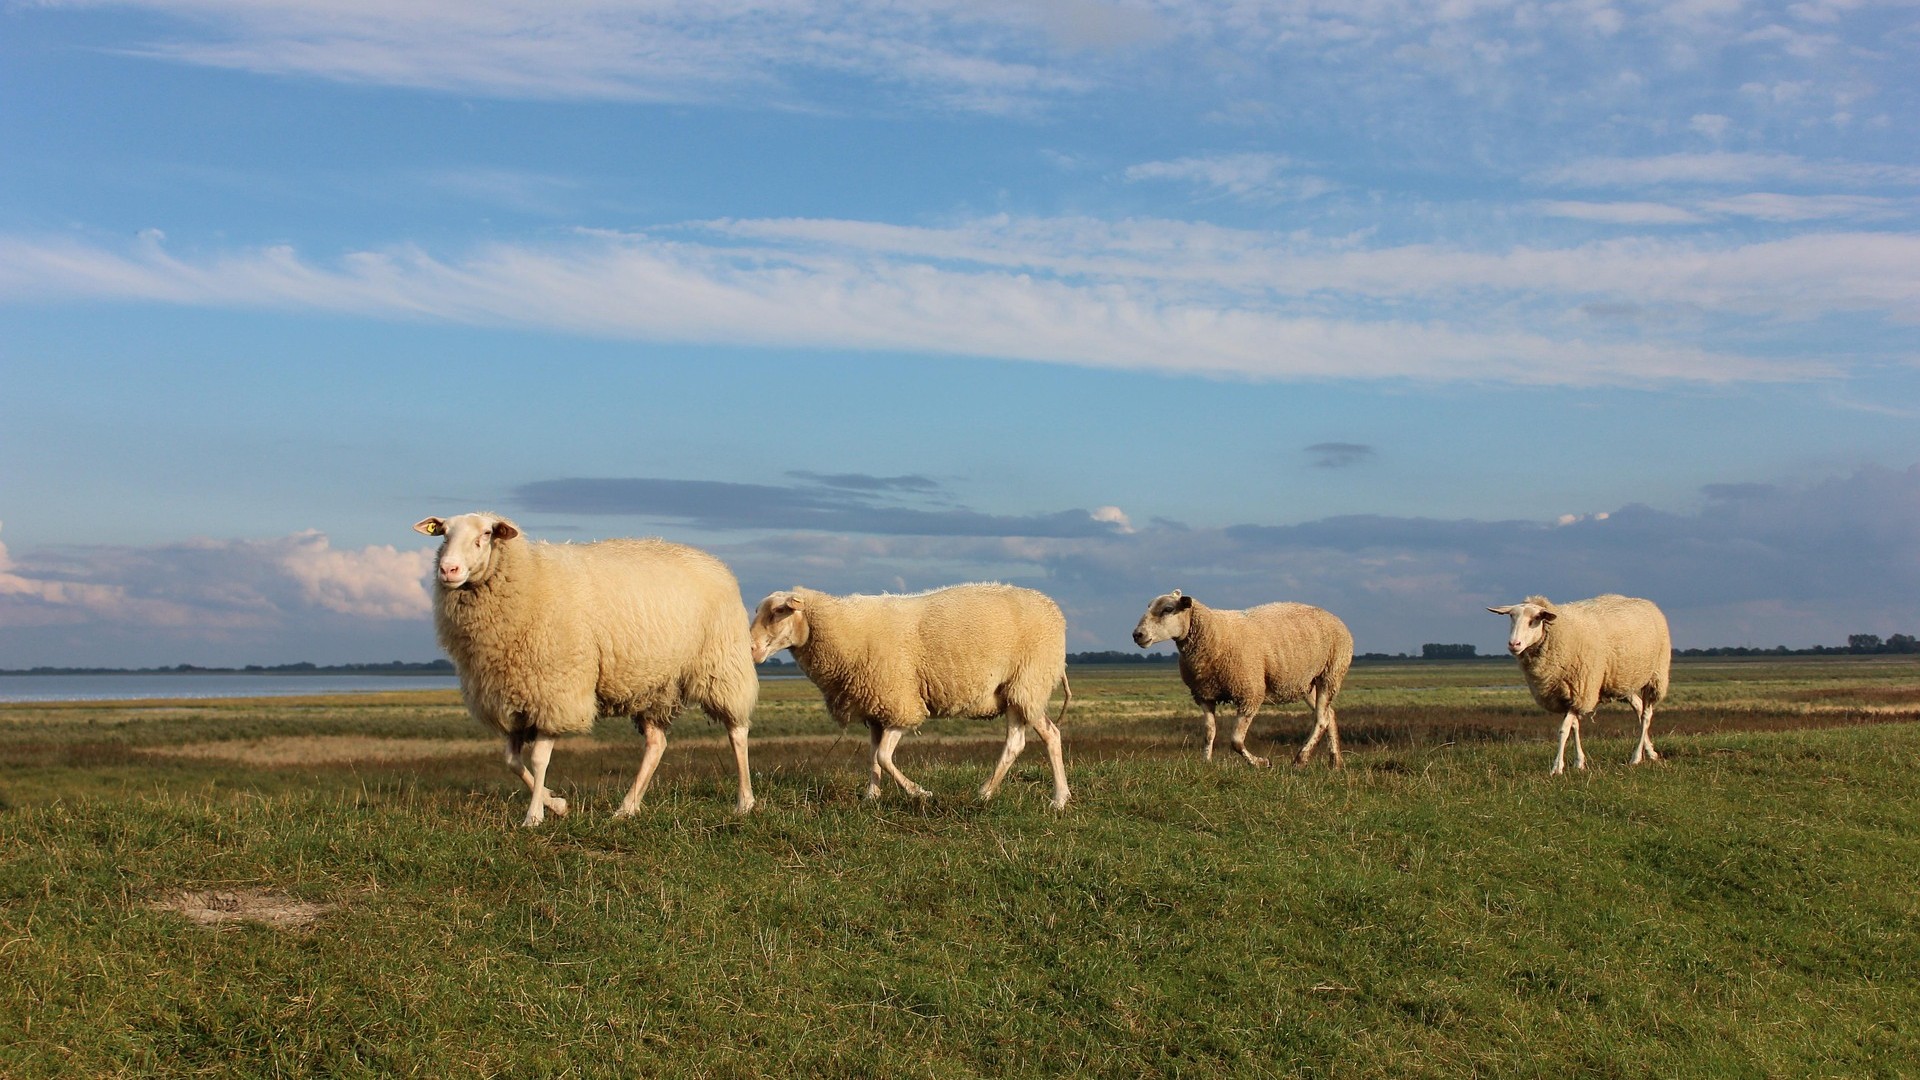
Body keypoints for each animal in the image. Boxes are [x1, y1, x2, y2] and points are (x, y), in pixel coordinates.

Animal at [414, 512, 758, 825]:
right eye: (443, 534)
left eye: (485, 535)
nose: (448, 569)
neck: (530, 576)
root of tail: (715, 562)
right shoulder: (513, 699)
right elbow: (511, 761)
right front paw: (556, 803)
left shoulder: (554, 693)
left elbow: (538, 759)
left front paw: (534, 816)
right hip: (654, 685)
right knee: (656, 744)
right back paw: (627, 808)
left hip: (722, 667)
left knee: (737, 732)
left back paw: (745, 802)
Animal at [748, 583, 1074, 808]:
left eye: (778, 612)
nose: (750, 649)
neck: (845, 630)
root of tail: (1053, 609)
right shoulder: (876, 708)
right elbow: (872, 756)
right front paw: (871, 796)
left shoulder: (901, 705)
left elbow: (883, 756)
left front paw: (919, 792)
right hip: (1016, 692)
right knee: (1029, 739)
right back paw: (998, 792)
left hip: (1028, 683)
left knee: (1041, 737)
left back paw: (1051, 797)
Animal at [1131, 590, 1354, 768]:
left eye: (1168, 609)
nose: (1137, 634)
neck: (1214, 633)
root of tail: (1335, 618)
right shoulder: (1204, 695)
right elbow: (1209, 732)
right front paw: (1206, 762)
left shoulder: (1250, 693)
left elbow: (1236, 741)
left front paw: (1261, 763)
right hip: (1305, 683)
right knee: (1329, 715)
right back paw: (1335, 762)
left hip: (1331, 673)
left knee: (1321, 718)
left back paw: (1301, 759)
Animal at [1487, 594, 1671, 774]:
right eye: (1511, 616)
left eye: (1536, 618)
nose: (1514, 644)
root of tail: (1648, 602)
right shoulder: (1567, 695)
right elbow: (1574, 726)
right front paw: (1579, 762)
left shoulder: (1581, 689)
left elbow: (1563, 730)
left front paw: (1557, 767)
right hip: (1624, 682)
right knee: (1639, 708)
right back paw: (1650, 752)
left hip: (1655, 677)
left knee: (1646, 715)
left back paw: (1636, 757)